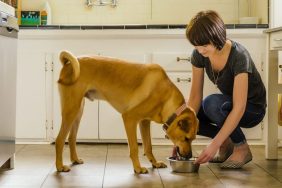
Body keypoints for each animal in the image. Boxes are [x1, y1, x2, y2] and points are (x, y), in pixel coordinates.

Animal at [55, 50, 198, 174]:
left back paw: (75, 160)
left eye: (193, 139)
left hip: (78, 111)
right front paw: (138, 168)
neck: (166, 98)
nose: (189, 156)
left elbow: (148, 146)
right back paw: (60, 166)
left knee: (71, 138)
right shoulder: (129, 118)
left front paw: (155, 163)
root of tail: (68, 63)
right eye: (186, 138)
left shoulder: (144, 122)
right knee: (60, 139)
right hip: (71, 110)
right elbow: (134, 147)